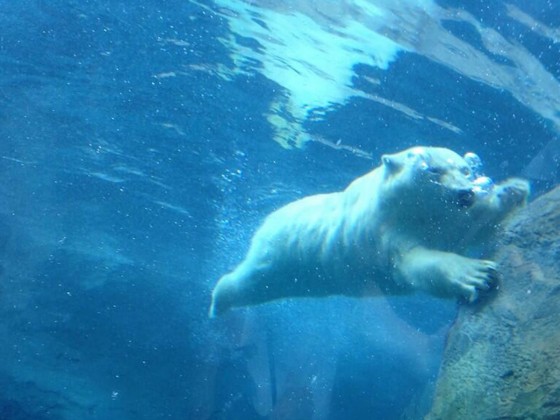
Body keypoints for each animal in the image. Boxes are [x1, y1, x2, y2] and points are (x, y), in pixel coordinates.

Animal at [210, 146, 528, 316]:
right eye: (433, 171)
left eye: (465, 170)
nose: (465, 193)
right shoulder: (388, 231)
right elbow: (416, 264)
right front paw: (478, 274)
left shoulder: (448, 219)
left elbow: (473, 227)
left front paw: (512, 190)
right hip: (280, 256)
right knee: (247, 282)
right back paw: (218, 303)